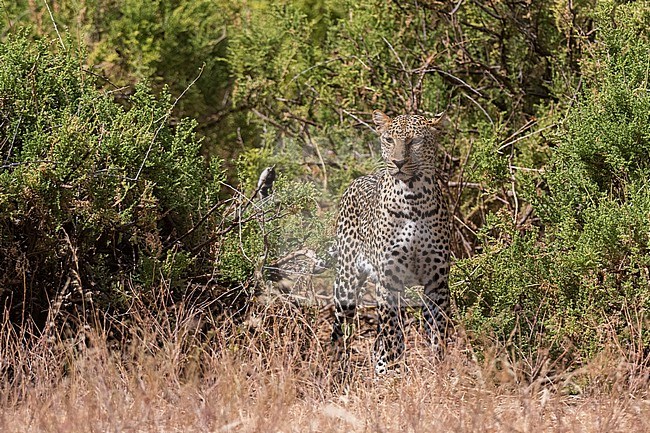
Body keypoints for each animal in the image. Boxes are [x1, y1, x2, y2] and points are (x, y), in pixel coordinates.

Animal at [332, 109, 448, 374]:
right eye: (389, 139)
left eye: (415, 141)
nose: (398, 163)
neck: (414, 198)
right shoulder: (389, 280)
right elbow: (393, 331)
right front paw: (393, 372)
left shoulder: (437, 282)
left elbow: (439, 329)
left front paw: (442, 368)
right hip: (346, 283)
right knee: (340, 331)